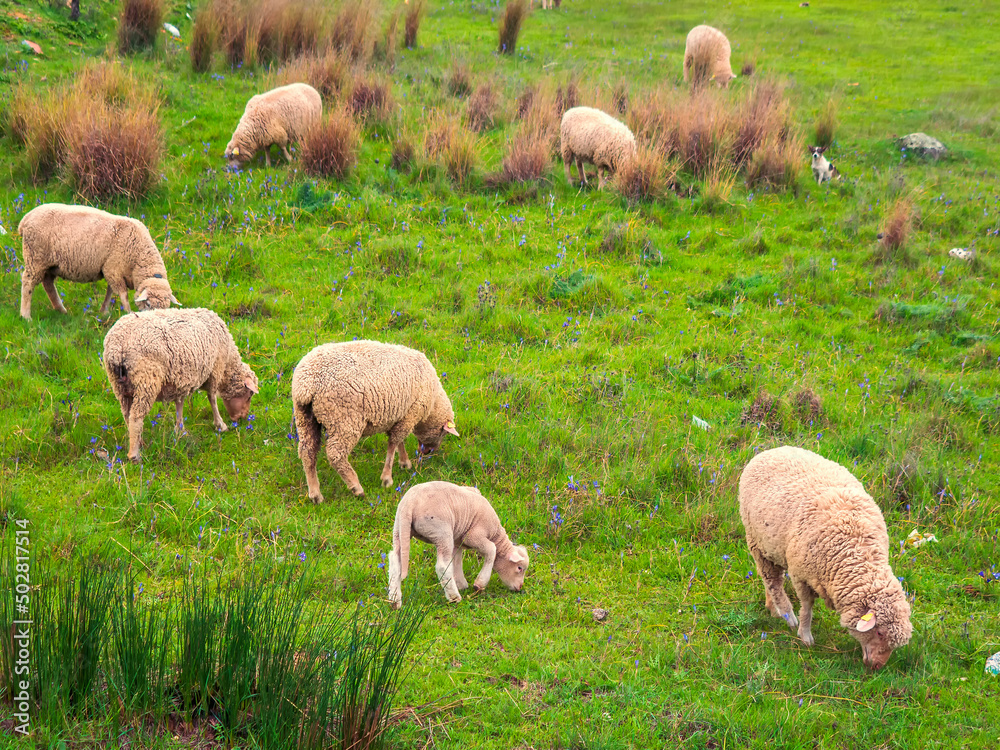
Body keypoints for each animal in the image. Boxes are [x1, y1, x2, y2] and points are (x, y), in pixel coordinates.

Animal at [17, 204, 179, 321]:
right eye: (149, 304)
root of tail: (26, 218)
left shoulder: (111, 270)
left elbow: (110, 292)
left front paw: (103, 311)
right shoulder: (113, 270)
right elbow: (123, 295)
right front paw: (128, 313)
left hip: (50, 264)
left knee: (48, 284)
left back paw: (61, 310)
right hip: (35, 257)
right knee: (28, 283)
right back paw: (26, 316)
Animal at [102, 308, 259, 461]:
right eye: (250, 395)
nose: (242, 418)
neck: (228, 362)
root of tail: (118, 347)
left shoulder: (181, 380)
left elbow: (180, 404)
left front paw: (180, 430)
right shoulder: (215, 369)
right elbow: (212, 399)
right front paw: (220, 425)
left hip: (120, 385)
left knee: (127, 414)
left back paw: (139, 442)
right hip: (146, 380)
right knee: (136, 417)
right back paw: (134, 455)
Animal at [291, 340, 459, 502]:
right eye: (443, 433)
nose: (426, 452)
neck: (433, 404)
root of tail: (307, 385)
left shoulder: (399, 416)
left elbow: (399, 442)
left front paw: (404, 463)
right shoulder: (411, 414)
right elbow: (394, 443)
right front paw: (387, 478)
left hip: (304, 417)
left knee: (307, 452)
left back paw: (315, 494)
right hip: (344, 420)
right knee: (335, 455)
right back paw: (356, 488)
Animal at [387, 481, 529, 608]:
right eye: (519, 568)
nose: (520, 587)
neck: (496, 534)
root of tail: (410, 503)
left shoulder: (458, 541)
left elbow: (457, 560)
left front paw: (461, 584)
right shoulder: (473, 536)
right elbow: (491, 549)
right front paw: (479, 584)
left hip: (399, 528)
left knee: (395, 561)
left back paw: (395, 601)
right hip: (441, 532)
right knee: (442, 566)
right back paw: (454, 597)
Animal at [739, 446, 913, 670]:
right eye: (880, 632)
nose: (877, 667)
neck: (856, 552)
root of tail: (772, 449)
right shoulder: (801, 574)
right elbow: (807, 608)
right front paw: (805, 635)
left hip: (774, 545)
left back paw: (772, 607)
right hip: (756, 541)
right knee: (772, 581)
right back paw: (786, 614)